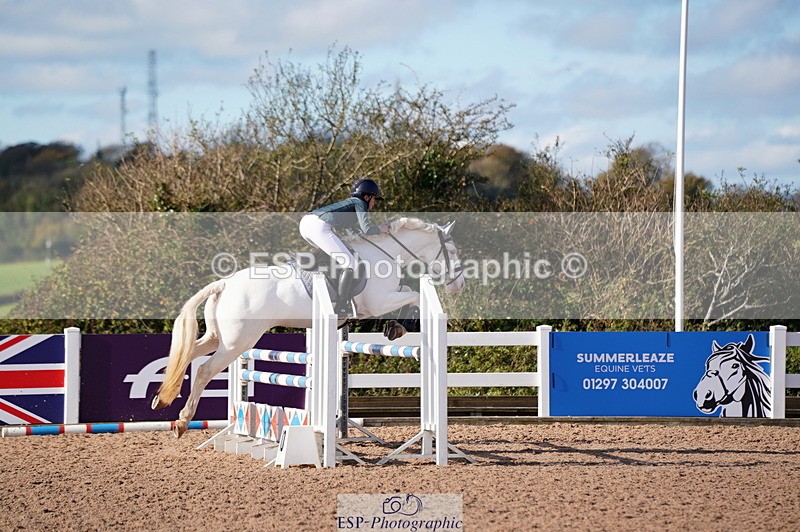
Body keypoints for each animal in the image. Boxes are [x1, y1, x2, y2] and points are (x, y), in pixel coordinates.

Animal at [151, 217, 465, 436]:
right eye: (450, 249)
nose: (459, 284)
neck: (385, 254)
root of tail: (225, 284)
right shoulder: (378, 302)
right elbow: (414, 296)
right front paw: (398, 326)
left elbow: (410, 294)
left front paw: (395, 327)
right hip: (237, 342)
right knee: (204, 370)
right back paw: (182, 421)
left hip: (219, 337)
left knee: (188, 354)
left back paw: (160, 399)